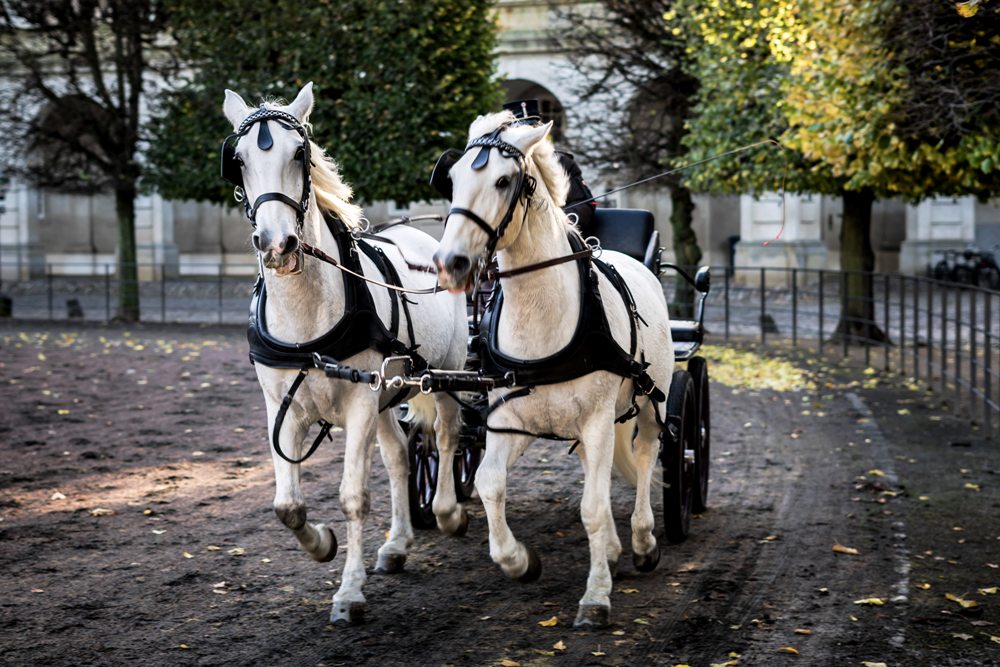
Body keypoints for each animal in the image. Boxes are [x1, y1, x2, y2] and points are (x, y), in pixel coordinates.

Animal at [223, 83, 464, 628]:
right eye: (239, 160)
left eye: (301, 153)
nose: (277, 244)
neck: (307, 318)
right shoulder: (283, 409)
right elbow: (287, 505)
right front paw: (323, 545)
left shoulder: (358, 405)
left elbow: (354, 497)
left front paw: (349, 592)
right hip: (387, 396)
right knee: (399, 457)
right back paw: (397, 544)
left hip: (446, 375)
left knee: (445, 437)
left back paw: (447, 511)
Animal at [434, 112, 676, 628]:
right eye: (453, 179)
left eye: (503, 181)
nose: (450, 263)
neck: (541, 316)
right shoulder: (508, 421)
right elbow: (490, 484)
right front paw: (519, 561)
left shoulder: (600, 420)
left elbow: (593, 507)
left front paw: (596, 597)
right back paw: (613, 548)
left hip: (651, 399)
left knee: (646, 453)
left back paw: (643, 540)